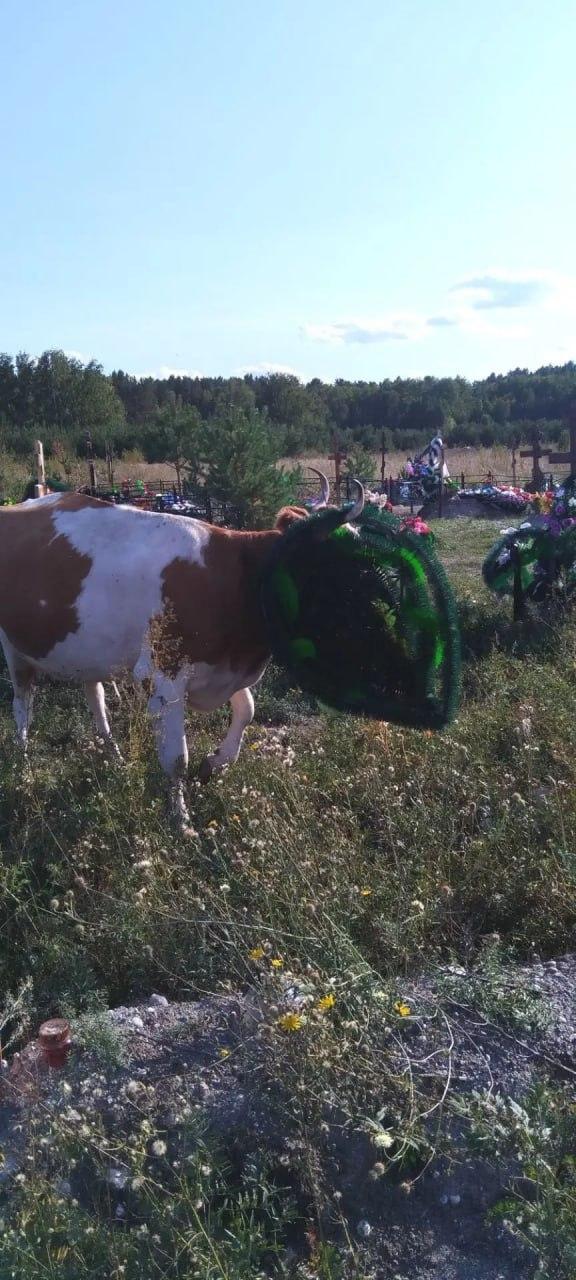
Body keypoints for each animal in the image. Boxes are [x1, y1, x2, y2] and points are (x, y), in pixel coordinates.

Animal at [0, 472, 364, 831]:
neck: (234, 578)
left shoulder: (225, 665)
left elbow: (247, 711)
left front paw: (214, 764)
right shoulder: (163, 677)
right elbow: (177, 758)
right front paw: (181, 820)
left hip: (87, 652)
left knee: (95, 697)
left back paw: (114, 756)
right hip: (13, 649)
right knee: (22, 705)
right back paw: (24, 766)